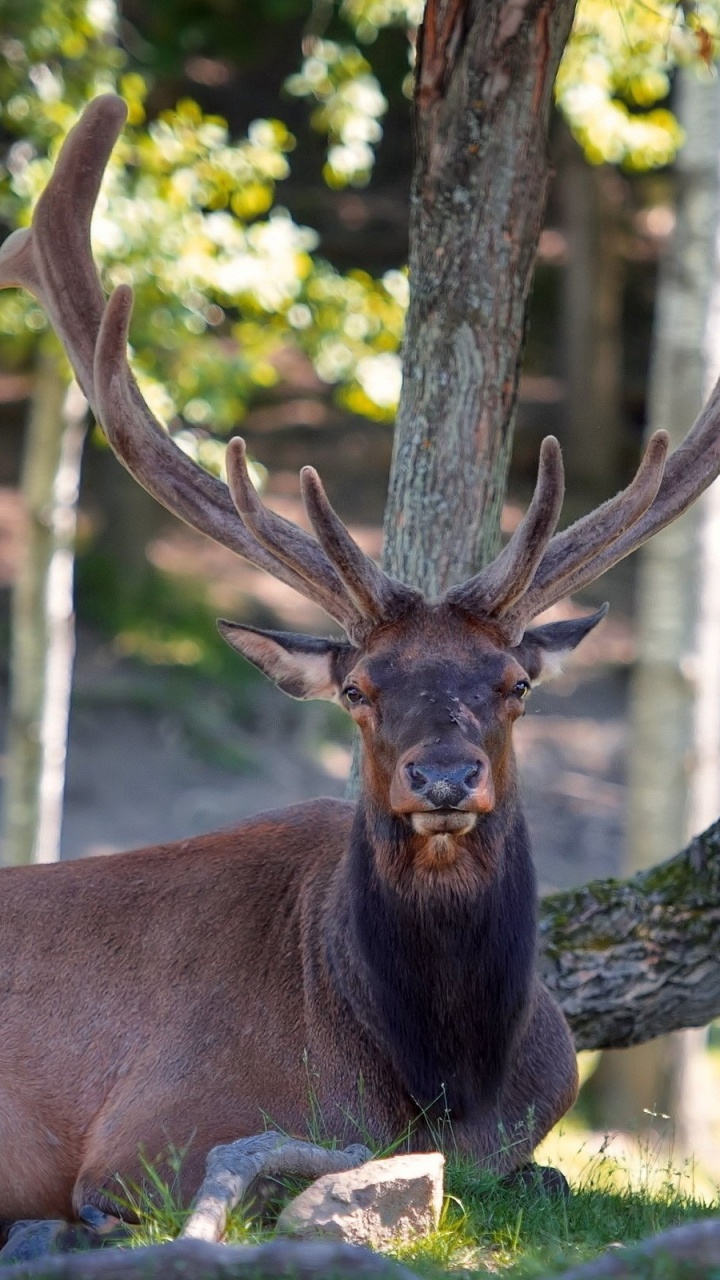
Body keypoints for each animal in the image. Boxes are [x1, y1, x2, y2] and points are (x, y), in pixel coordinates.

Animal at [0, 94, 719, 1232]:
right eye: (357, 689)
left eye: (516, 684)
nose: (443, 775)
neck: (444, 1083)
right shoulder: (146, 1142)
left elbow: (548, 1172)